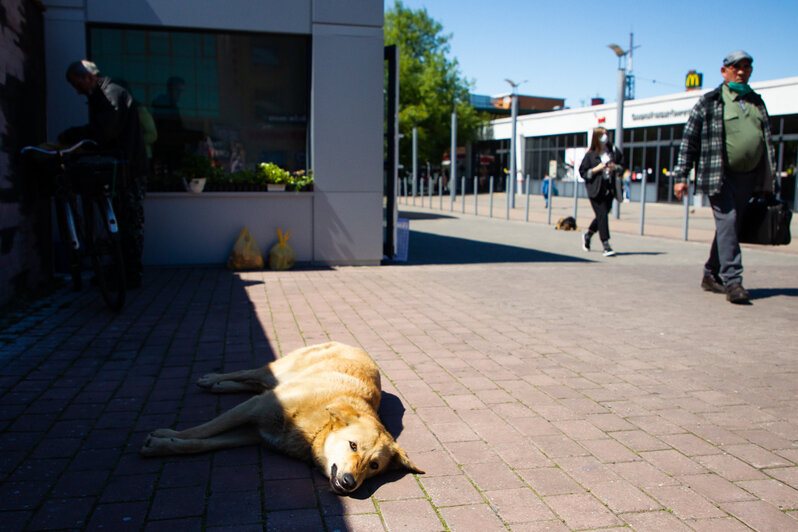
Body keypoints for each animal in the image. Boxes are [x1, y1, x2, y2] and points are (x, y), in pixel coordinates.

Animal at [141, 340, 424, 494]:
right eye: (352, 445)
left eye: (374, 466)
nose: (348, 483)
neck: (314, 429)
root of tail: (354, 345)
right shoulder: (253, 408)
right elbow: (202, 430)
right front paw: (167, 435)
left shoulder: (252, 433)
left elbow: (199, 444)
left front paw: (163, 445)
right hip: (276, 371)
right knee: (248, 373)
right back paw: (213, 379)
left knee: (252, 383)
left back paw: (221, 386)